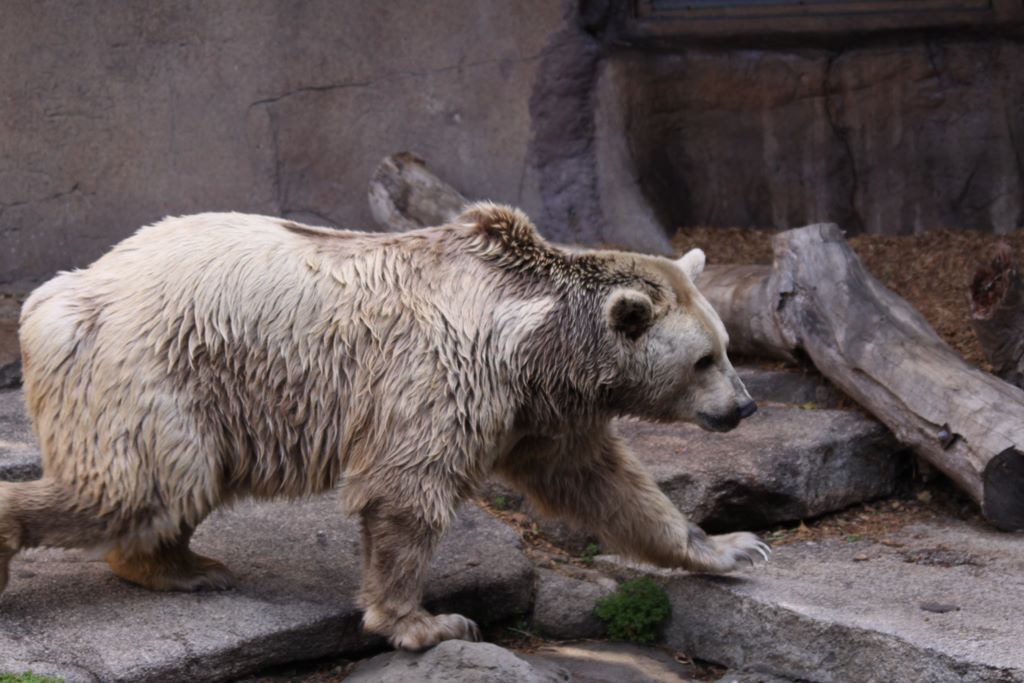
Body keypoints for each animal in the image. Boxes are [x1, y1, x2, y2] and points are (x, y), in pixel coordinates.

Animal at [0, 203, 767, 650]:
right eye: (704, 359)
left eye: (727, 346)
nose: (744, 407)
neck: (536, 337)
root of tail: (56, 296)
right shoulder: (444, 372)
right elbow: (407, 488)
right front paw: (427, 621)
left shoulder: (537, 410)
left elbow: (602, 482)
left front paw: (733, 547)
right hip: (151, 365)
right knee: (138, 484)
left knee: (175, 484)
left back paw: (183, 567)